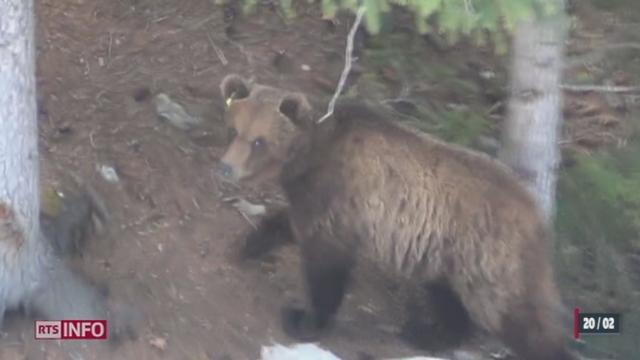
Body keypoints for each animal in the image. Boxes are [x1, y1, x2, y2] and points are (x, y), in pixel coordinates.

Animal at [216, 74, 576, 360]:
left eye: (259, 141)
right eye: (234, 130)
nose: (226, 168)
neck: (308, 158)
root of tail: (537, 215)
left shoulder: (340, 199)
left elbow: (326, 269)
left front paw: (302, 319)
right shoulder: (316, 202)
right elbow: (289, 224)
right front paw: (250, 243)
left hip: (489, 258)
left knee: (516, 314)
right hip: (445, 256)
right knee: (449, 299)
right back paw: (429, 334)